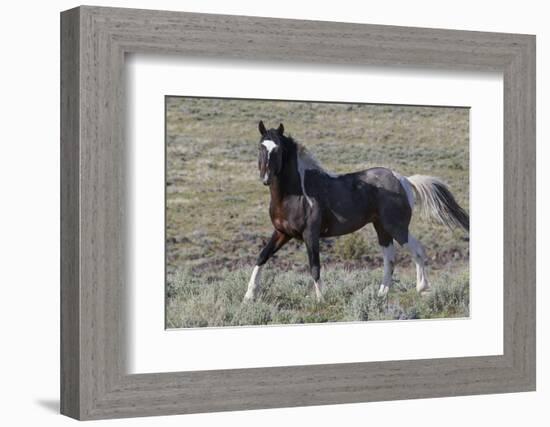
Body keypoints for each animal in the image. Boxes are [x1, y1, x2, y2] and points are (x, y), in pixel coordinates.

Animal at [245, 120, 470, 304]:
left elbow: (314, 266)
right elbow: (262, 257)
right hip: (382, 228)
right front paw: (249, 296)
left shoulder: (311, 235)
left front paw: (321, 300)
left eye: (278, 149)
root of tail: (403, 179)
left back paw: (422, 289)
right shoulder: (282, 233)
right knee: (390, 259)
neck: (296, 193)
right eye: (260, 146)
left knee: (417, 250)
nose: (265, 178)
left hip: (397, 227)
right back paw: (381, 295)